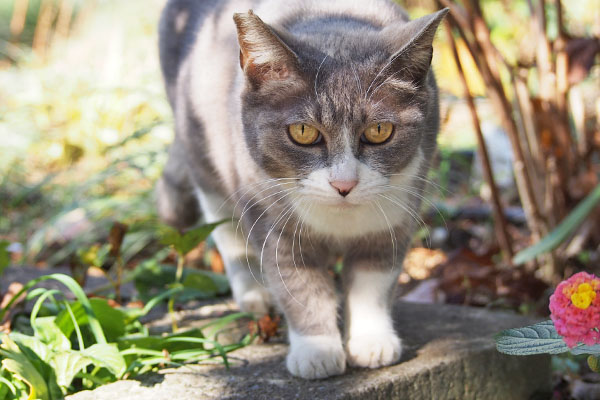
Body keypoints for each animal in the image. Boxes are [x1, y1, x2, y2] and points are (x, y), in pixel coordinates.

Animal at [155, 0, 446, 378]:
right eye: (303, 132)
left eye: (379, 131)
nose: (344, 183)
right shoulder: (274, 224)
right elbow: (300, 287)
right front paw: (317, 350)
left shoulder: (394, 216)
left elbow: (373, 282)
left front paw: (371, 341)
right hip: (202, 150)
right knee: (225, 227)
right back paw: (253, 293)